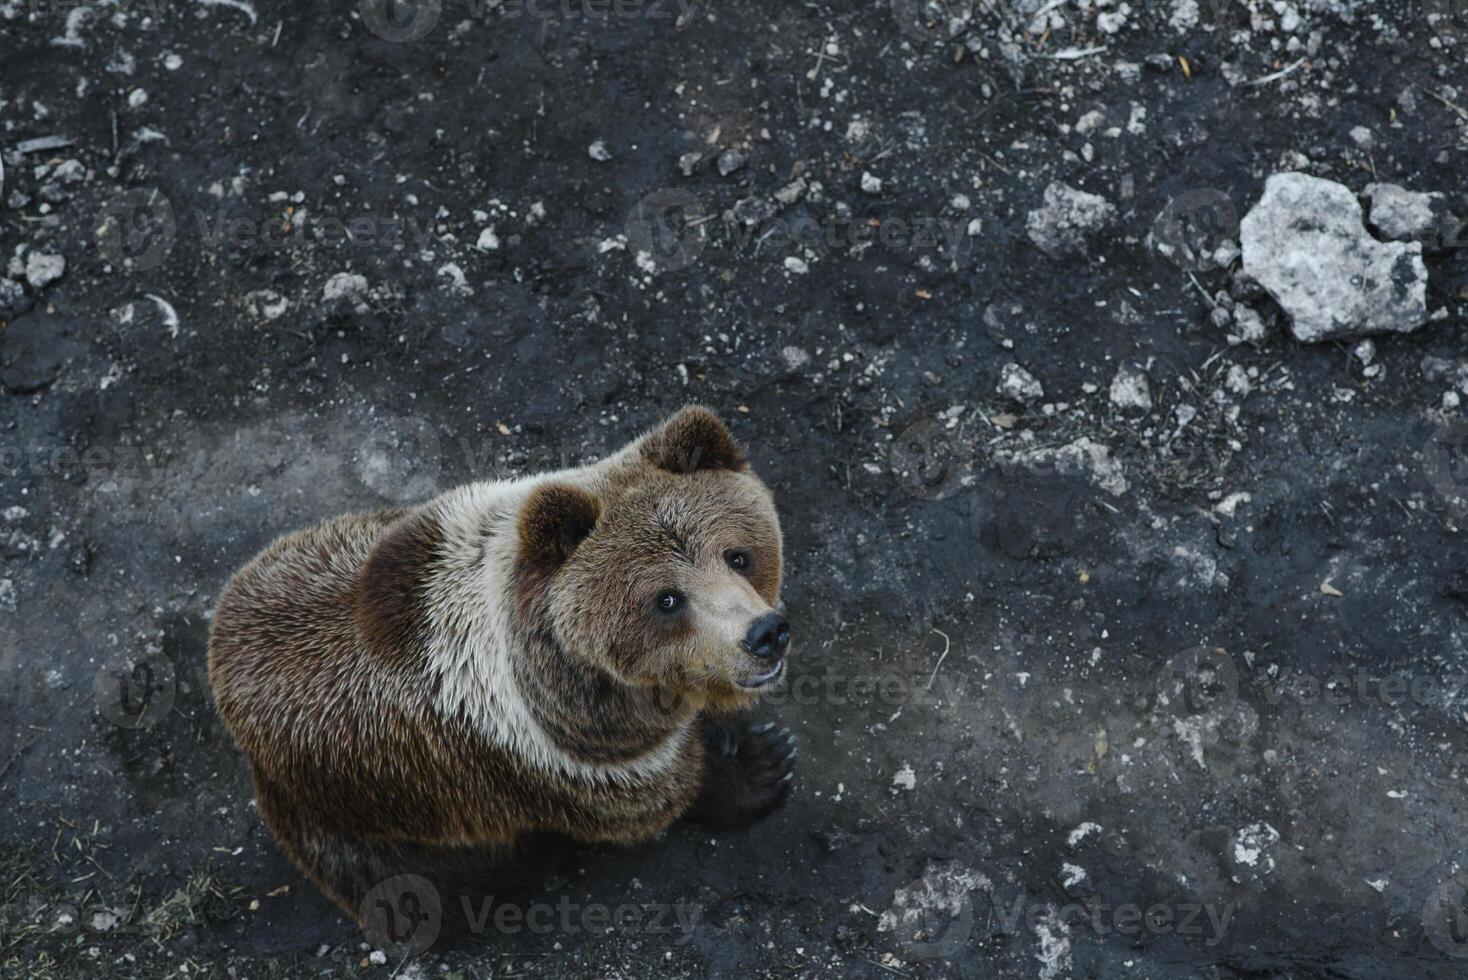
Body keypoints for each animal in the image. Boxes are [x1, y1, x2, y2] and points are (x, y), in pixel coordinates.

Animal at [206, 407, 792, 938]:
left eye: (737, 556)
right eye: (667, 599)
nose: (764, 634)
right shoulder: (559, 761)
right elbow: (661, 795)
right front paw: (762, 765)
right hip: (360, 813)